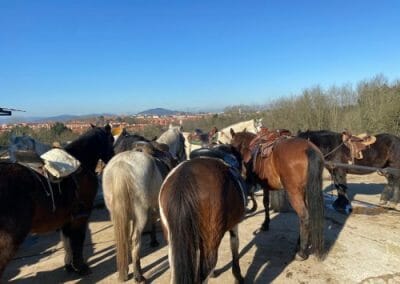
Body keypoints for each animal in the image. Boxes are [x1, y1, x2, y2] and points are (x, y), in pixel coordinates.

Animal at [0, 125, 115, 280]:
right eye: (111, 139)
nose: (113, 157)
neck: (80, 166)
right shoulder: (81, 216)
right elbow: (77, 241)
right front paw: (81, 267)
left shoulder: (66, 219)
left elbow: (67, 242)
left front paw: (70, 266)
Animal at [102, 129, 185, 284]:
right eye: (183, 140)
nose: (181, 158)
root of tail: (121, 167)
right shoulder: (155, 207)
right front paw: (154, 241)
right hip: (139, 214)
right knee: (135, 239)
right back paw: (138, 275)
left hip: (115, 214)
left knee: (124, 238)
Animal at [159, 144, 247, 284]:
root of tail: (184, 179)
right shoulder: (234, 224)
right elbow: (235, 246)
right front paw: (238, 277)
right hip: (211, 237)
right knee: (204, 271)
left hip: (173, 239)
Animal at [228, 130, 324, 260]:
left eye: (232, 145)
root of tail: (308, 148)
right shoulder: (265, 186)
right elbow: (265, 201)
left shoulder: (258, 183)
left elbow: (263, 201)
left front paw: (265, 224)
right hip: (304, 191)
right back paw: (300, 244)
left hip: (294, 192)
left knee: (304, 216)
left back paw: (302, 252)